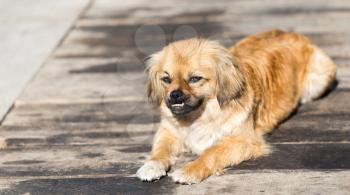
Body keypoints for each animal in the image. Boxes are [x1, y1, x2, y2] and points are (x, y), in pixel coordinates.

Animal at [135, 29, 336, 184]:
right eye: (166, 79)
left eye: (195, 79)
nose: (174, 94)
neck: (198, 117)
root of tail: (293, 33)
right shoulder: (167, 131)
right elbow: (159, 150)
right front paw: (151, 165)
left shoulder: (243, 141)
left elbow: (211, 152)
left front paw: (189, 170)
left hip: (318, 82)